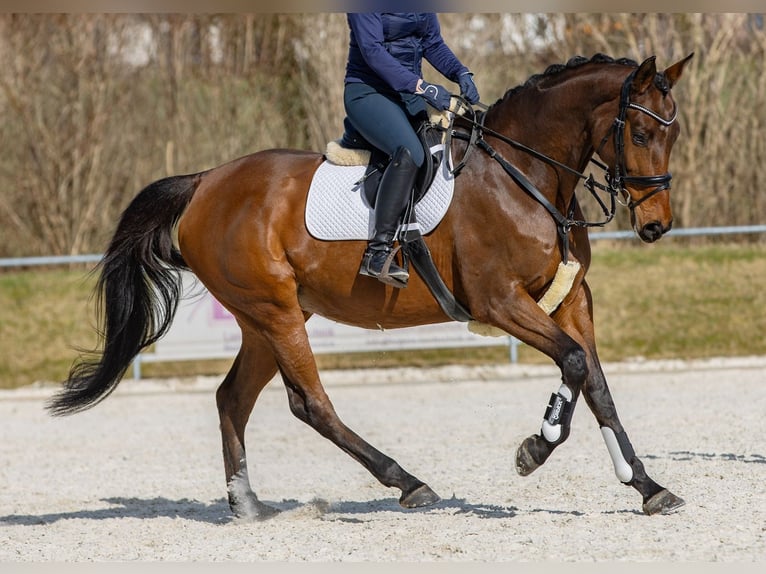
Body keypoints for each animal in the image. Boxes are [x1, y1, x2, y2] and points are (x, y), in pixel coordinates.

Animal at [48, 53, 694, 520]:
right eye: (640, 133)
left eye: (674, 133)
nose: (655, 224)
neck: (527, 177)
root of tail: (206, 181)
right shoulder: (500, 302)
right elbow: (574, 365)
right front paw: (536, 446)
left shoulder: (571, 300)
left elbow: (596, 382)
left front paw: (647, 486)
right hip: (276, 311)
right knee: (310, 403)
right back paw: (408, 483)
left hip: (268, 318)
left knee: (232, 398)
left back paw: (248, 505)